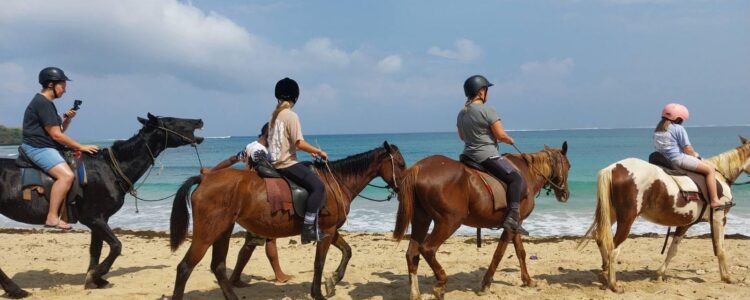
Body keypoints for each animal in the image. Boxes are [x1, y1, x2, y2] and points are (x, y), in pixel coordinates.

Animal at [0, 113, 204, 298]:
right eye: (171, 120)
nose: (198, 121)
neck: (110, 169)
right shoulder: (93, 218)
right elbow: (116, 246)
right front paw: (95, 274)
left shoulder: (99, 220)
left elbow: (96, 250)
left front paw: (94, 279)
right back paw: (15, 290)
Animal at [169, 142, 406, 300]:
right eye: (401, 164)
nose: (404, 188)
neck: (335, 182)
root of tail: (205, 178)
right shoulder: (327, 231)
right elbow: (319, 263)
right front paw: (318, 292)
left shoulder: (330, 230)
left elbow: (347, 251)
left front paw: (333, 281)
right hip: (206, 234)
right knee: (184, 268)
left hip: (222, 231)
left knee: (218, 266)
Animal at [394, 142, 568, 298]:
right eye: (569, 166)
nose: (565, 194)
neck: (527, 173)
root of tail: (419, 167)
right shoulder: (511, 226)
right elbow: (499, 254)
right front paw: (486, 284)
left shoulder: (516, 224)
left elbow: (520, 252)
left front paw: (528, 280)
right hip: (449, 222)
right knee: (427, 249)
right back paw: (440, 283)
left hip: (422, 219)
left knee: (412, 254)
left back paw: (415, 293)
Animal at [580, 137, 750, 292]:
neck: (719, 176)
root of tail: (613, 169)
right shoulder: (719, 218)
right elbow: (721, 249)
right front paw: (727, 277)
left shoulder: (685, 223)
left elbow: (672, 250)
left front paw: (659, 274)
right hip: (627, 219)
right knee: (613, 249)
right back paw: (613, 284)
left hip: (611, 214)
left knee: (598, 236)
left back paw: (604, 273)